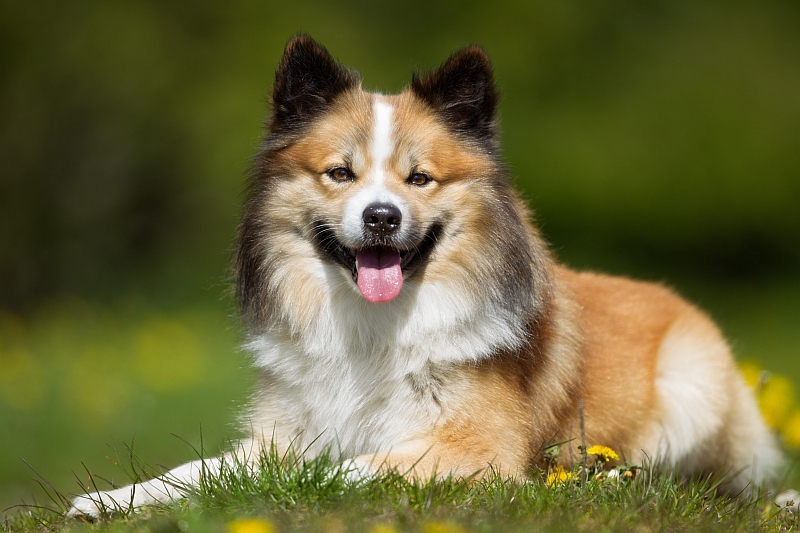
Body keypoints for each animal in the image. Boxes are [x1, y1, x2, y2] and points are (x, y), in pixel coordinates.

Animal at [67, 35, 788, 516]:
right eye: (340, 173)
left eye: (419, 179)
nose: (382, 217)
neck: (373, 326)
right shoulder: (280, 435)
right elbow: (200, 469)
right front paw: (111, 498)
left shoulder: (474, 449)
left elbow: (352, 467)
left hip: (692, 390)